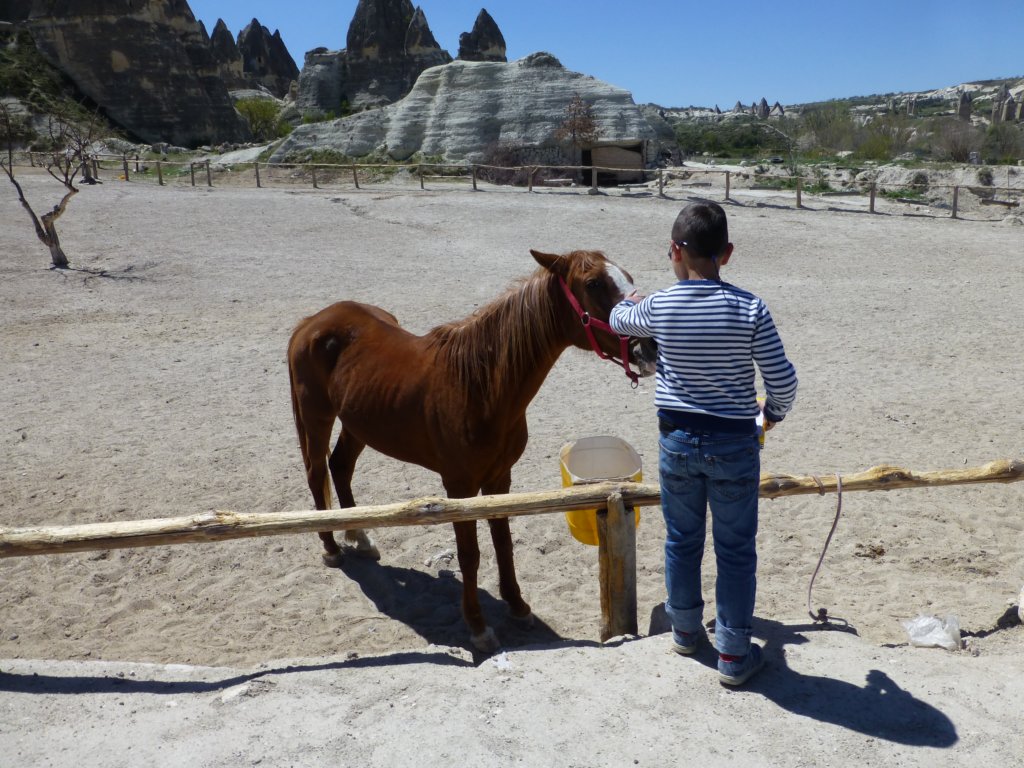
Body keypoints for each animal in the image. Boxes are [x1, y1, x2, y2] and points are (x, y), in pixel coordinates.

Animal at [286, 249, 655, 651]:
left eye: (627, 275)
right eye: (593, 283)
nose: (650, 345)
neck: (480, 387)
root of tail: (312, 322)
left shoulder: (499, 479)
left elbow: (503, 543)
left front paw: (517, 605)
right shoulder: (459, 487)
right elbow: (470, 554)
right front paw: (478, 626)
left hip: (358, 423)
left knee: (340, 467)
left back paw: (360, 537)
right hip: (317, 418)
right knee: (317, 472)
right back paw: (332, 547)